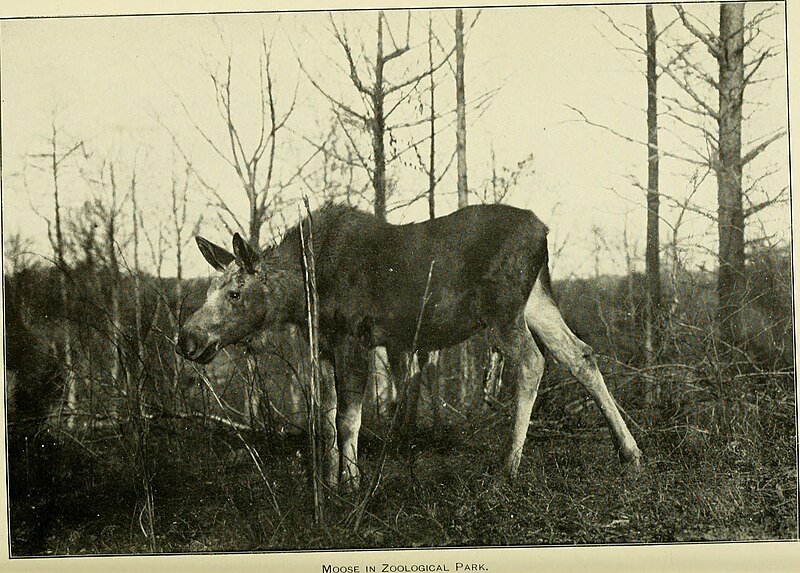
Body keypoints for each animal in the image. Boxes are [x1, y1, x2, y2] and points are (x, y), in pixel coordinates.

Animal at [178, 203, 640, 490]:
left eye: (234, 293)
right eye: (207, 290)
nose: (187, 339)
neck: (302, 294)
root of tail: (543, 233)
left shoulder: (356, 336)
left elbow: (349, 419)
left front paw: (352, 483)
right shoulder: (325, 344)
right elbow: (326, 418)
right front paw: (328, 481)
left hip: (503, 307)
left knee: (531, 361)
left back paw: (508, 466)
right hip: (537, 300)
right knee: (581, 355)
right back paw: (629, 452)